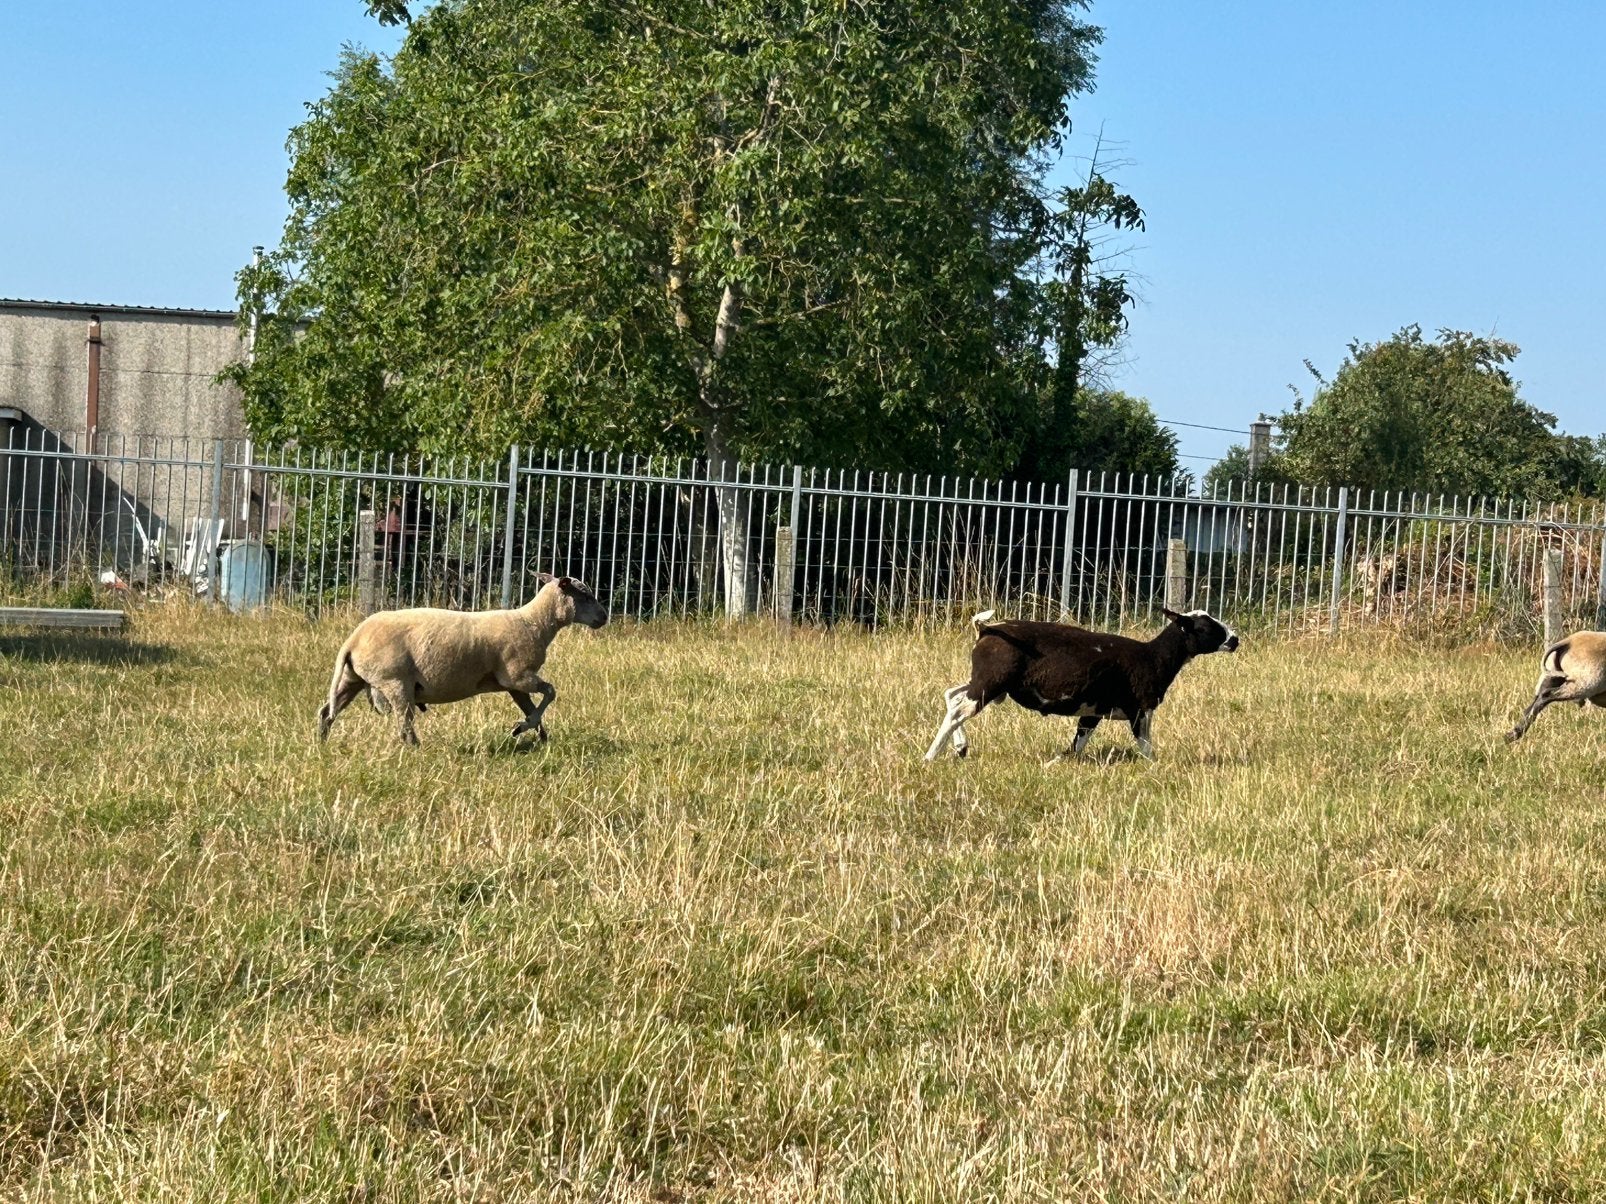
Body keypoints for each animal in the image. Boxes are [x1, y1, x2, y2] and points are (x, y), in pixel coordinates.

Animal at [316, 574, 608, 745]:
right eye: (584, 595)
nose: (604, 617)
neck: (533, 622)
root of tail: (353, 639)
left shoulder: (514, 685)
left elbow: (532, 708)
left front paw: (538, 736)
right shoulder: (518, 676)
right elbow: (550, 692)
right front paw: (522, 728)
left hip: (352, 678)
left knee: (326, 711)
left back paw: (322, 744)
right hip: (394, 681)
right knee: (404, 725)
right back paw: (417, 750)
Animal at [924, 606, 1239, 762]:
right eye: (1206, 627)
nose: (1235, 639)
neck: (1154, 657)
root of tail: (987, 629)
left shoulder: (1093, 710)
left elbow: (1078, 742)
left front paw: (1056, 763)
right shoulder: (1140, 709)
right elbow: (1146, 747)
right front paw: (1157, 768)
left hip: (989, 683)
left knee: (952, 696)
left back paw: (960, 747)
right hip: (991, 681)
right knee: (958, 708)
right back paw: (930, 756)